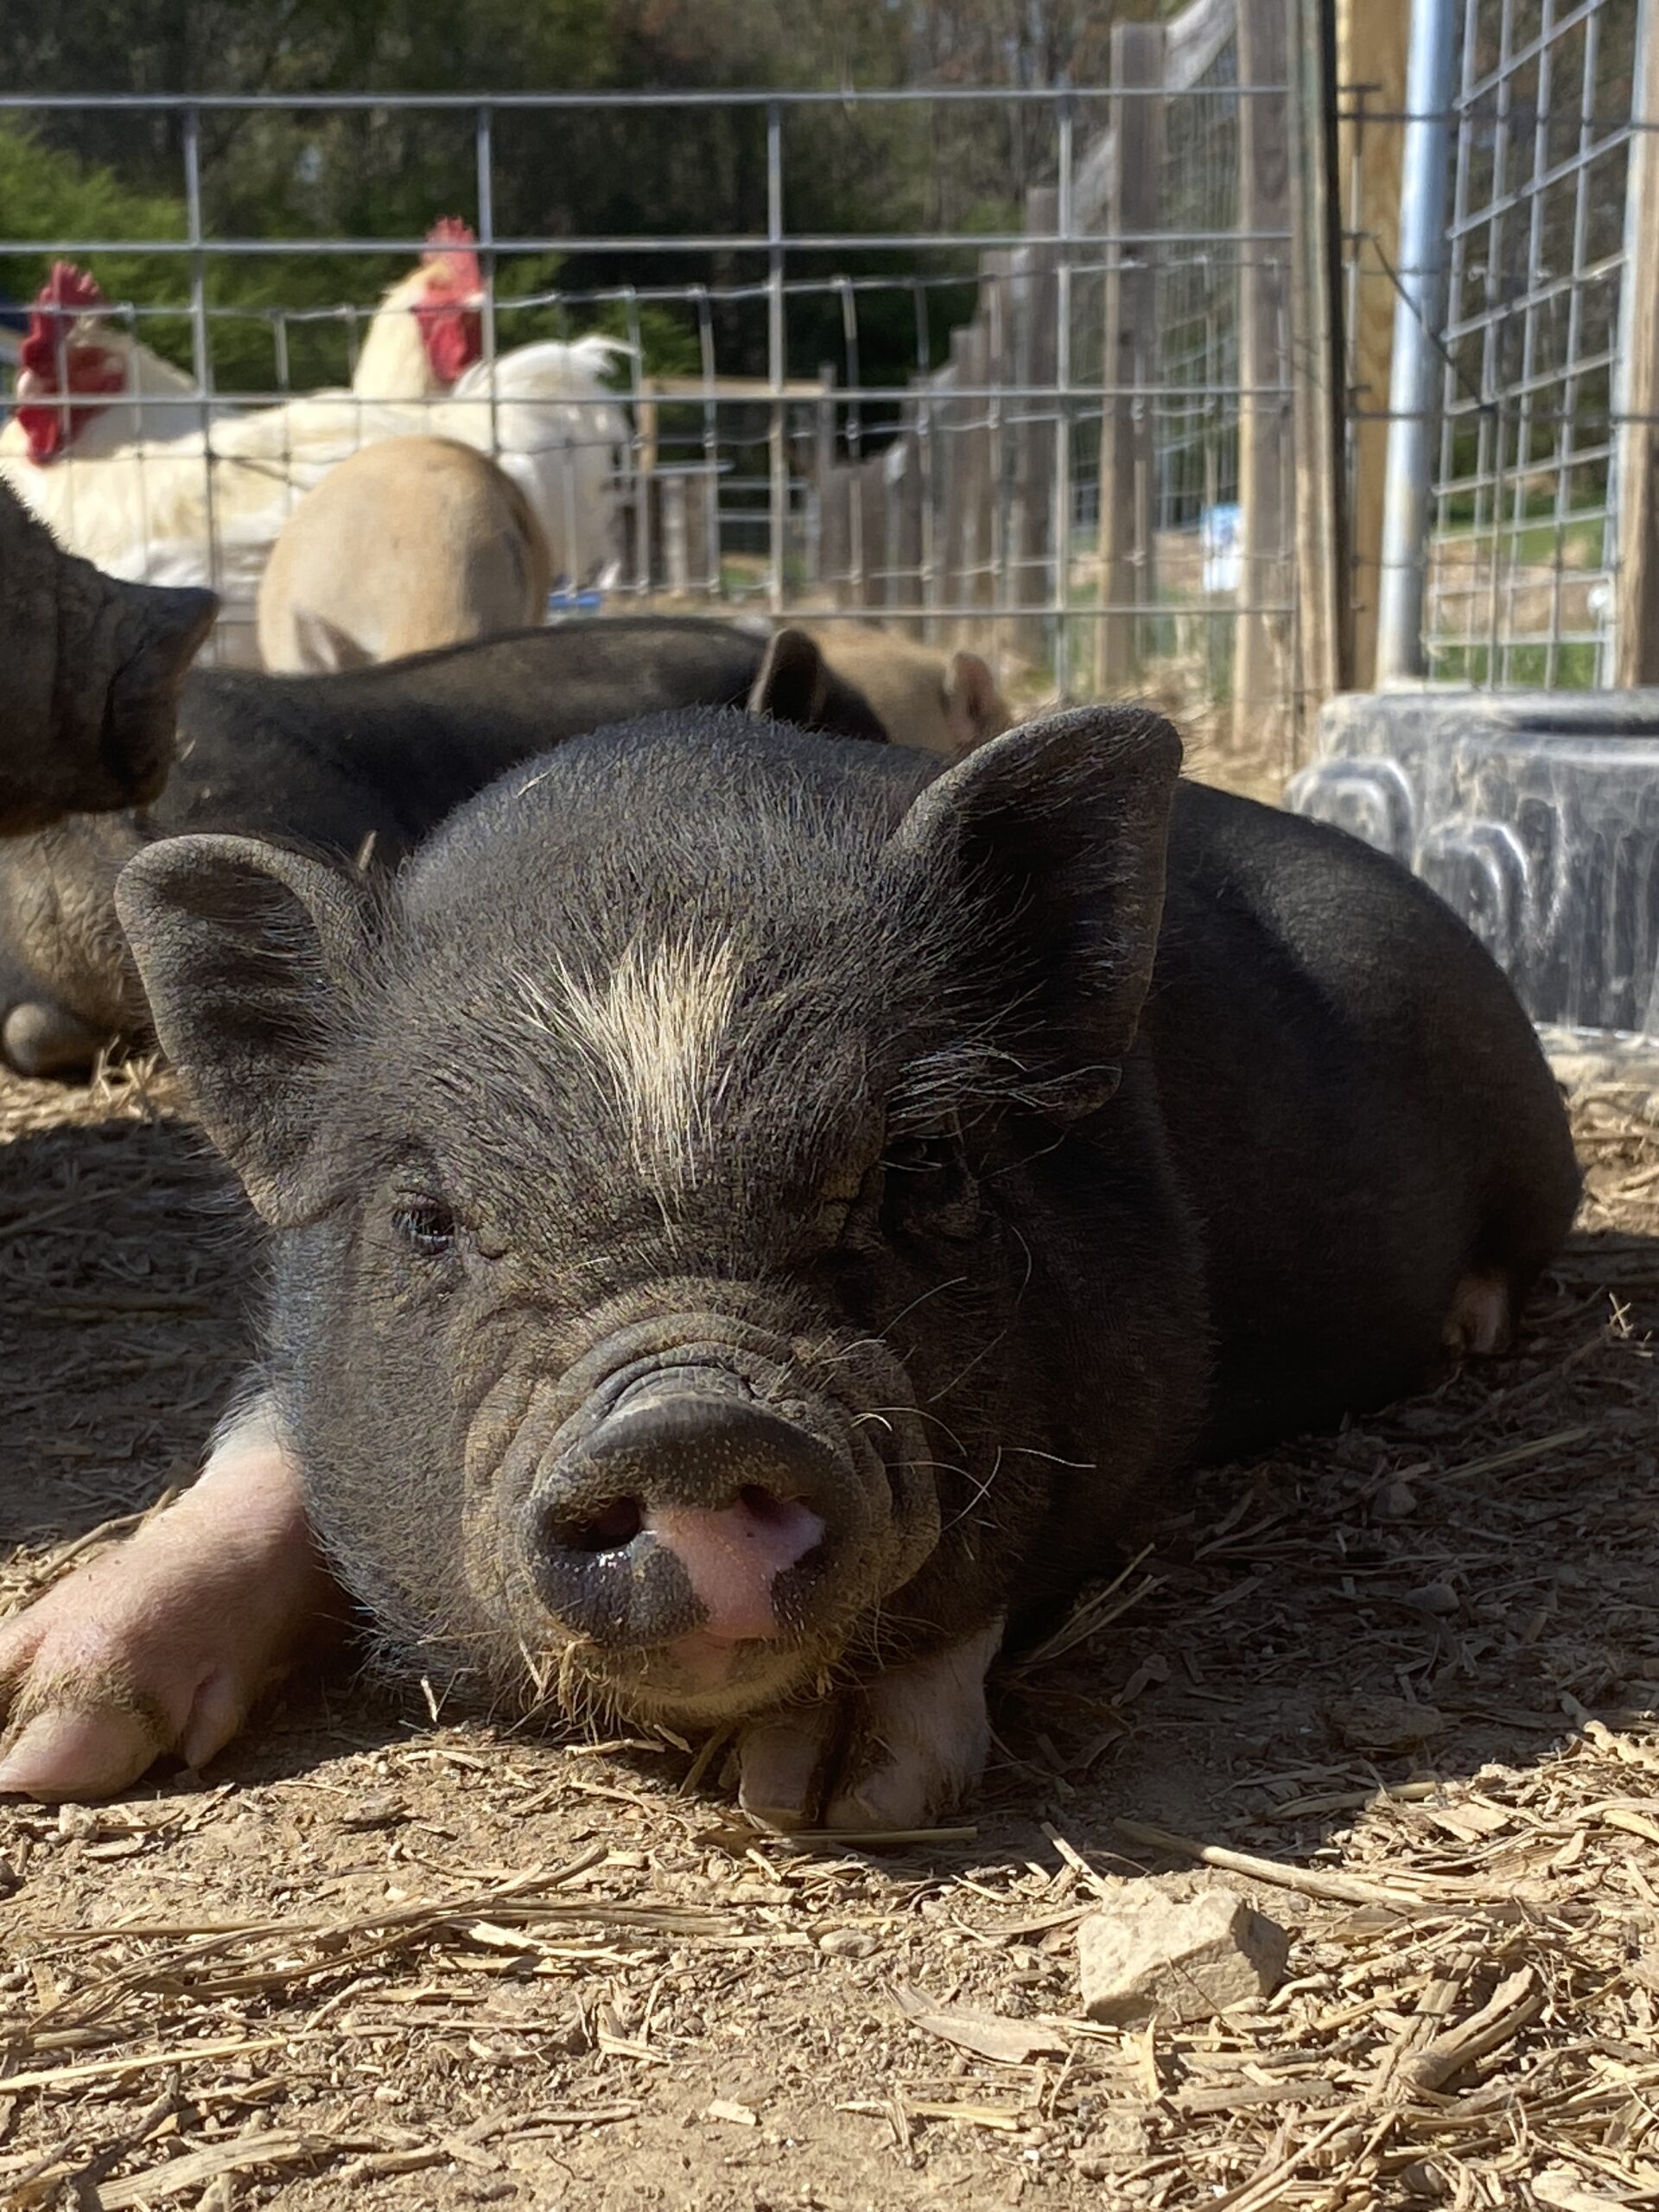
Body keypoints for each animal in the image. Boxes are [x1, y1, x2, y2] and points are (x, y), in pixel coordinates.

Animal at [0, 702, 1581, 1819]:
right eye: (428, 1219)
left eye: (923, 1168)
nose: (688, 1427)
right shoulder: (291, 1346)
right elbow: (258, 1459)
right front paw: (37, 1740)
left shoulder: (1154, 1371)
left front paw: (823, 1787)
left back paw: (1473, 1329)